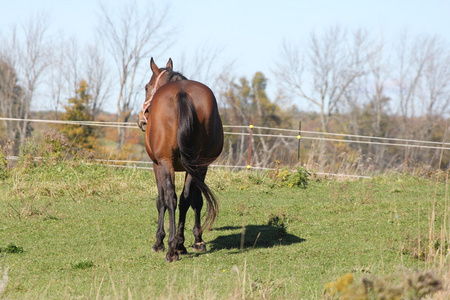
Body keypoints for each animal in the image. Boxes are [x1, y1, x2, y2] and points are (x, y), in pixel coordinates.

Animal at [136, 57, 222, 262]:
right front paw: (196, 240)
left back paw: (171, 249)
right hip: (197, 165)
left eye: (146, 87)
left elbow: (161, 201)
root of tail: (182, 94)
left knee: (171, 198)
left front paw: (159, 242)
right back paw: (180, 244)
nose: (142, 120)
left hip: (166, 163)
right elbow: (195, 200)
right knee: (185, 199)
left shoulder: (157, 165)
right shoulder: (200, 167)